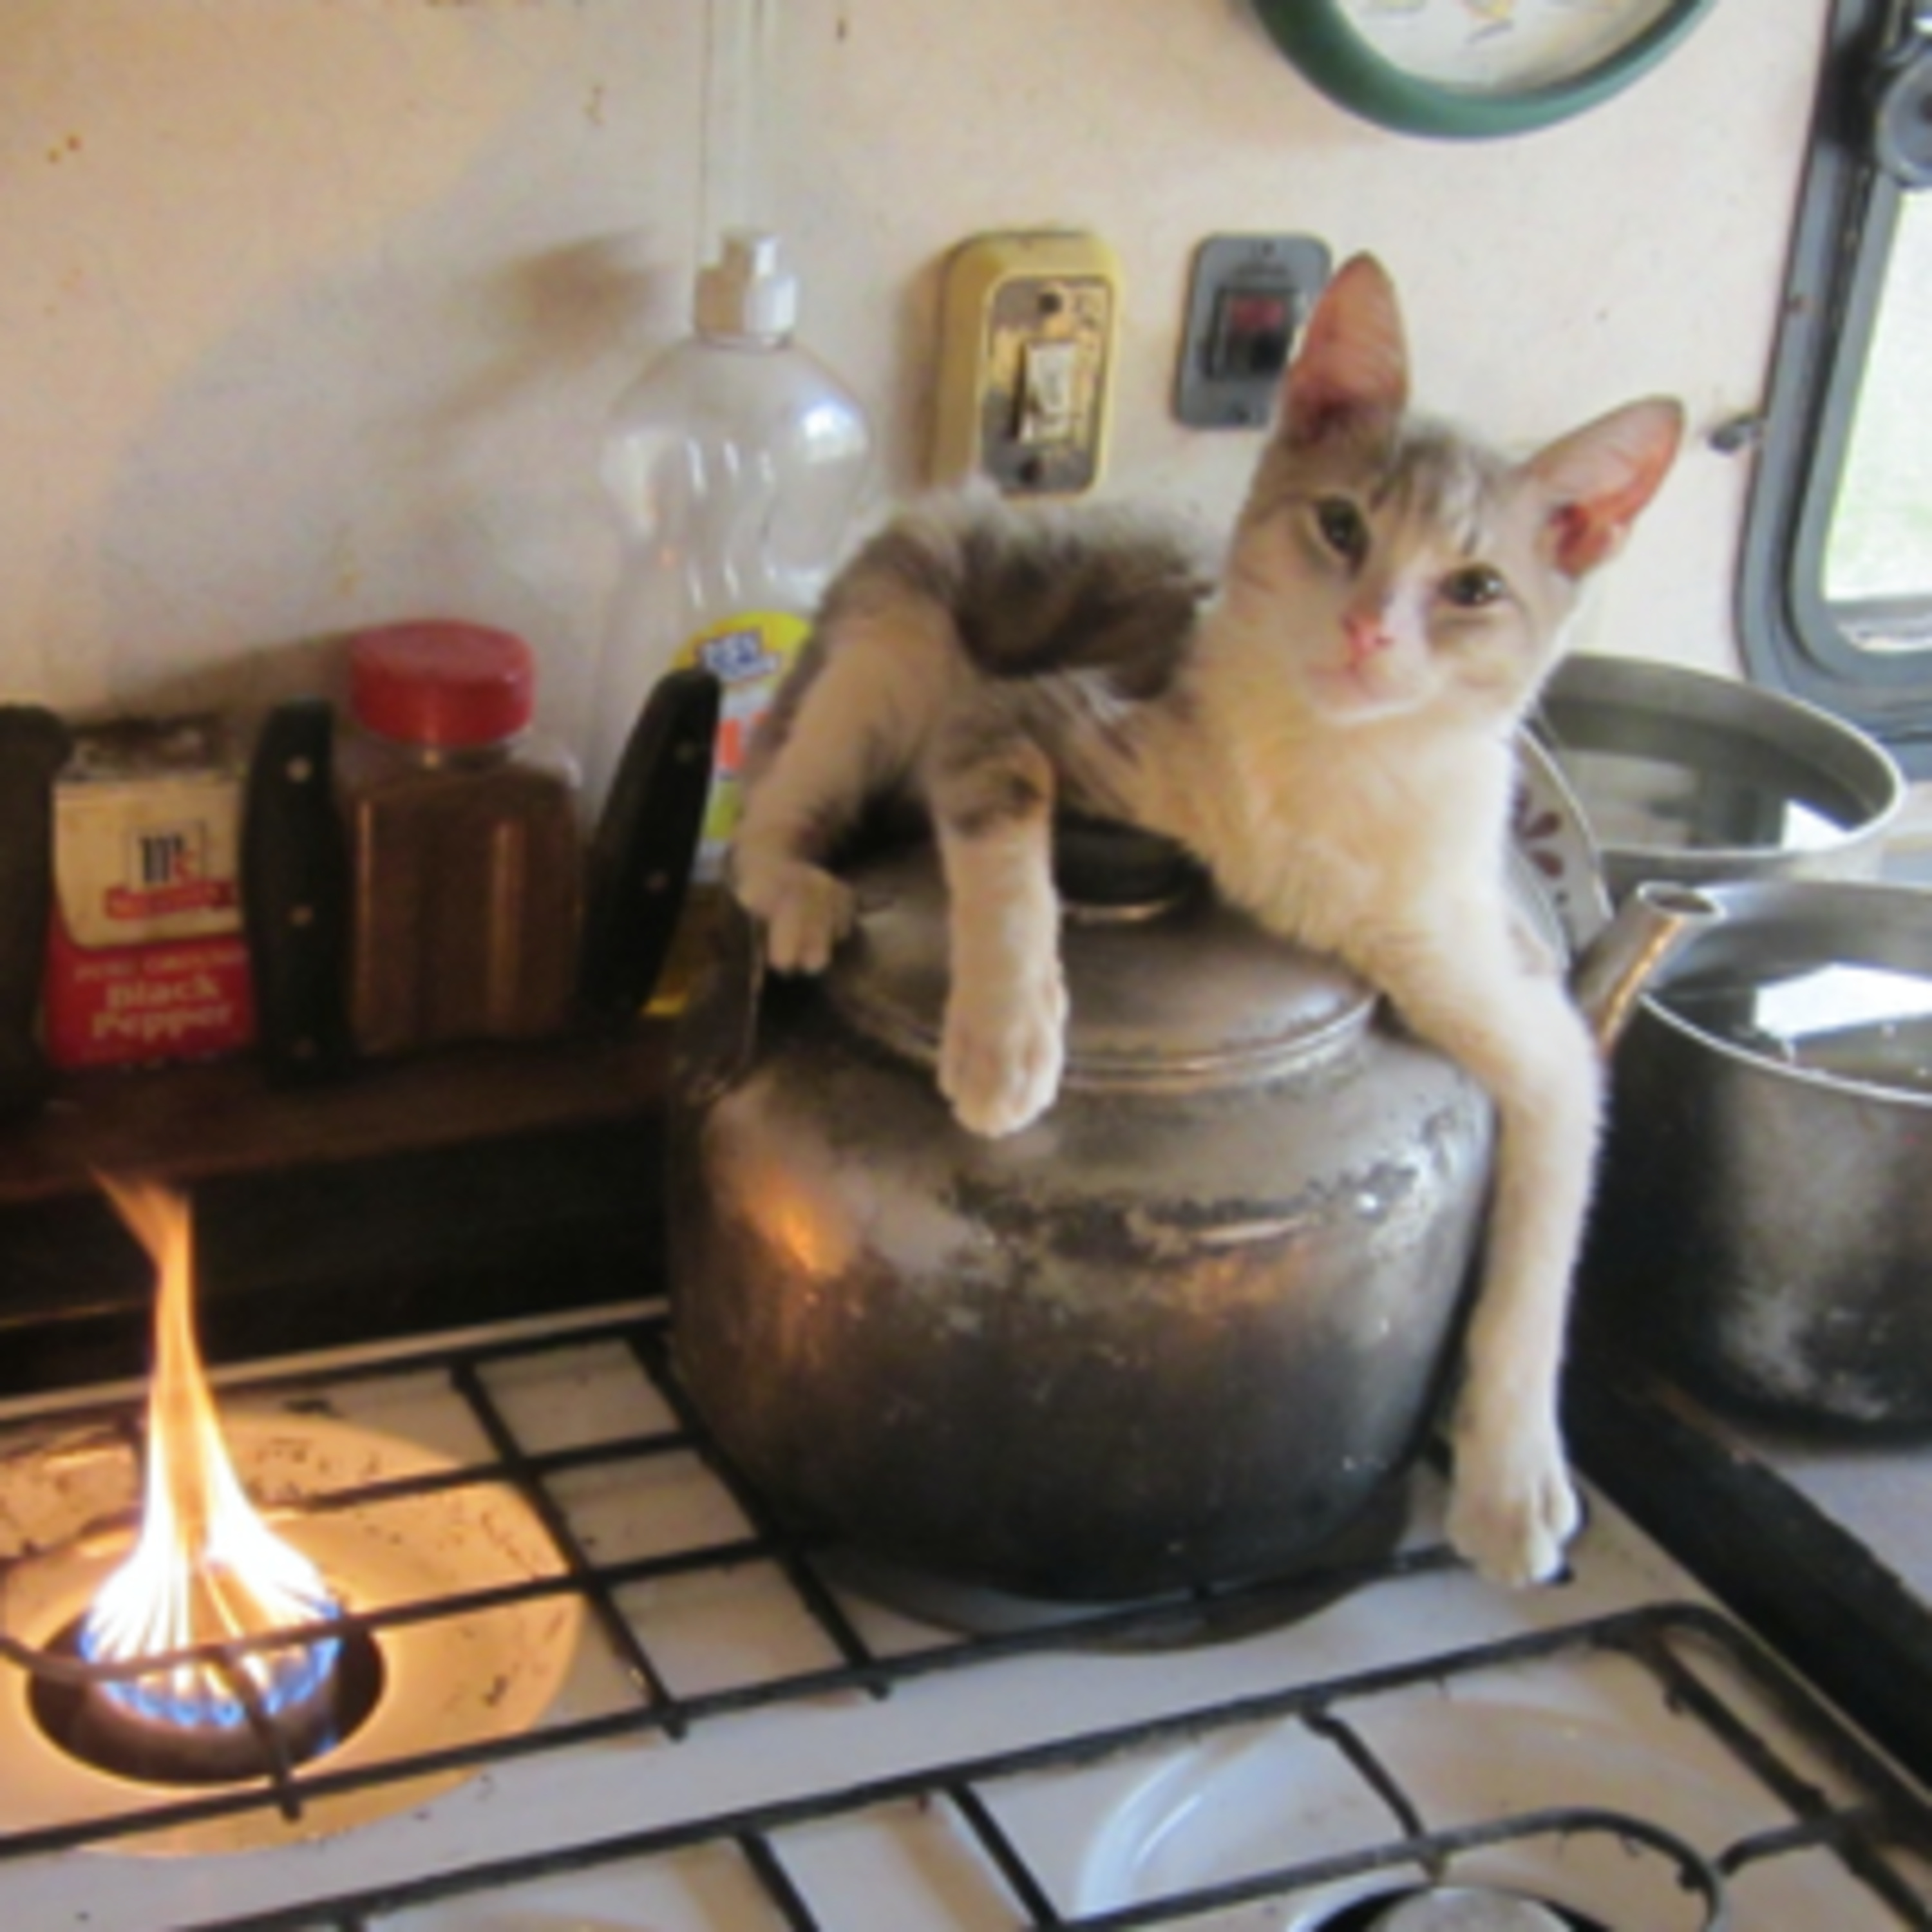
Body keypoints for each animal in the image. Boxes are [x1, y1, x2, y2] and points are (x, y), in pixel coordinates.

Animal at [728, 253, 1683, 1589]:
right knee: (771, 809)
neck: (1323, 782)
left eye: (1475, 588)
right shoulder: (1023, 716)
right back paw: (804, 889)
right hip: (895, 633)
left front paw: (1512, 1481)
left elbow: (1552, 1213)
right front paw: (1008, 1038)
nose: (1366, 630)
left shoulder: (1504, 987)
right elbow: (1004, 855)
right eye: (1341, 526)